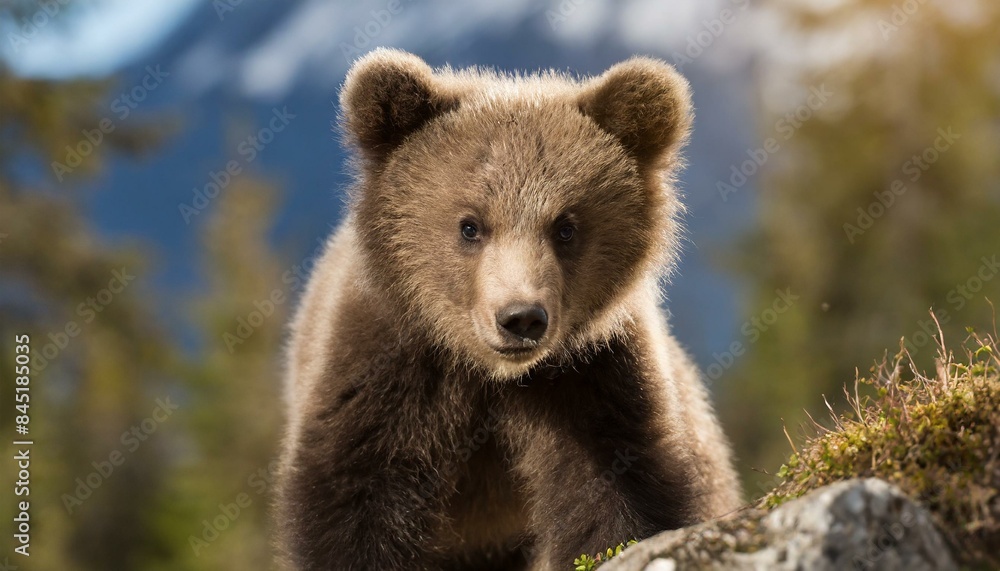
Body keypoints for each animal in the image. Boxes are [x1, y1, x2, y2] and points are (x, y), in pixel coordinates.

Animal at [276, 48, 741, 571]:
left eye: (565, 227)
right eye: (470, 225)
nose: (521, 318)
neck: (491, 376)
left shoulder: (593, 375)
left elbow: (619, 483)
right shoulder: (386, 368)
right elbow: (354, 498)